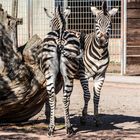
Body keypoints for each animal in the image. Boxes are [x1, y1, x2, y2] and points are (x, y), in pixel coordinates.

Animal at [38, 5, 81, 136]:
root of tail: (60, 37)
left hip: (51, 72)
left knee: (53, 97)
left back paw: (54, 128)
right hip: (67, 75)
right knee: (65, 98)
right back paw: (67, 128)